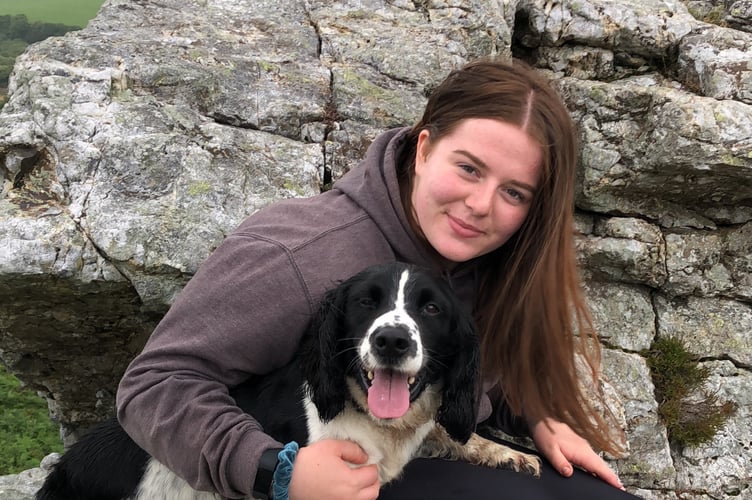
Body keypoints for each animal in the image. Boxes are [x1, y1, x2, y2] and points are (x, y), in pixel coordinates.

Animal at [36, 264, 540, 498]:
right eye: (365, 302)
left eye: (431, 308)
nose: (392, 341)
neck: (370, 419)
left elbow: (451, 433)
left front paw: (511, 454)